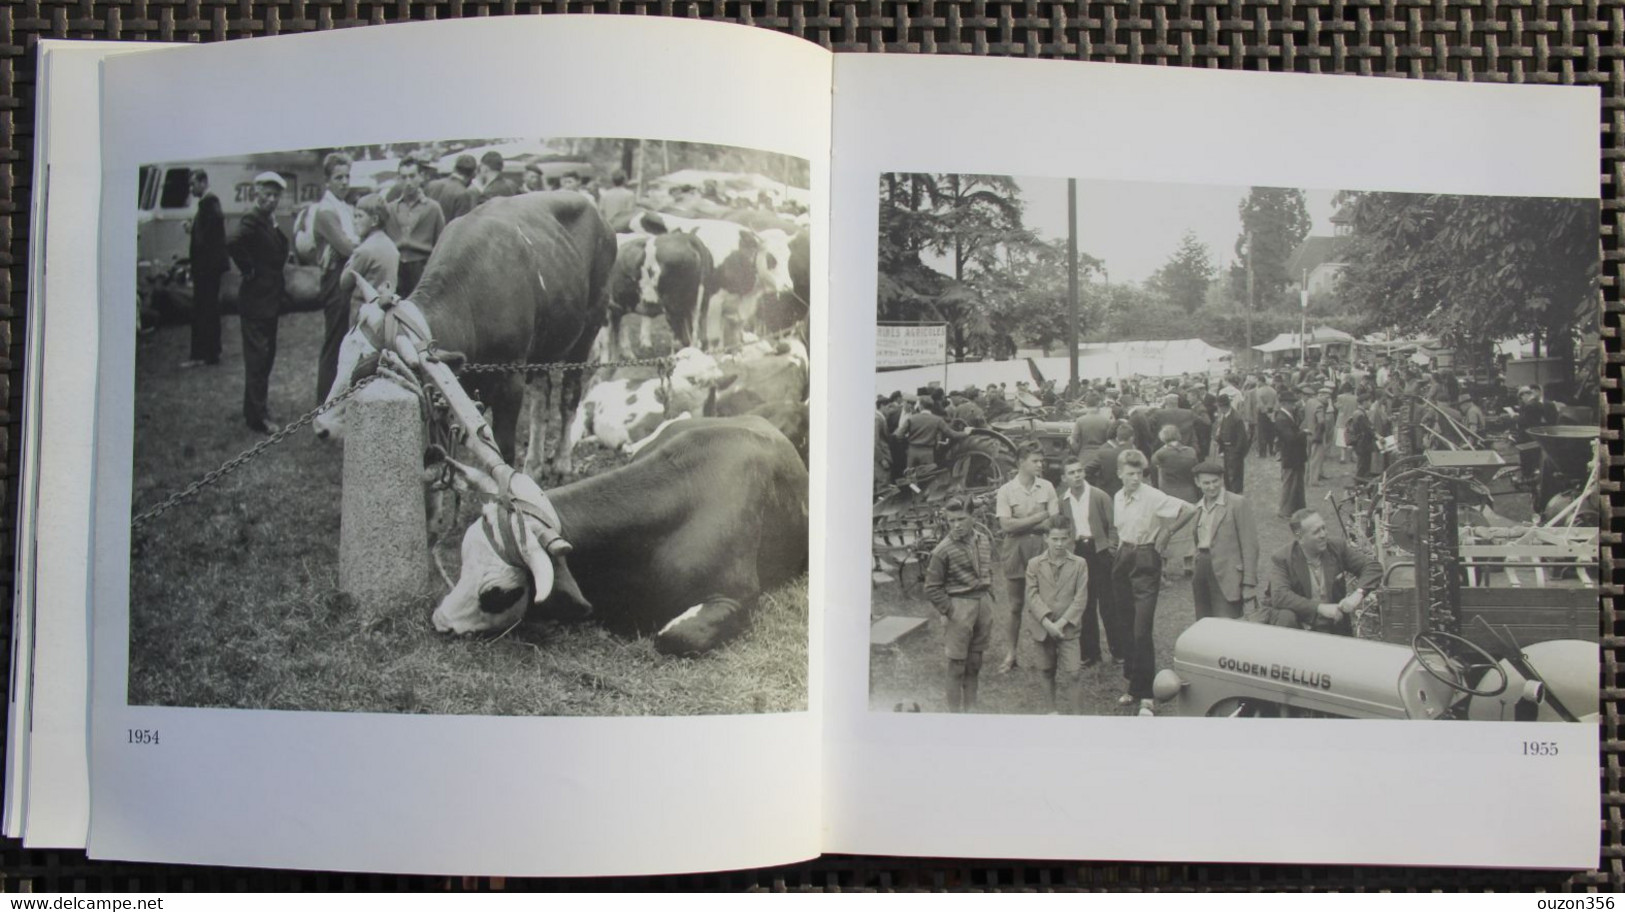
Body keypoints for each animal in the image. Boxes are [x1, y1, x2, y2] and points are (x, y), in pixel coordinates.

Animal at [315, 191, 614, 477]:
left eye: (367, 368)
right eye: (341, 359)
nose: (320, 427)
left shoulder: (511, 379)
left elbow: (503, 453)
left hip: (588, 328)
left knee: (568, 396)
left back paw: (562, 462)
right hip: (545, 345)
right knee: (541, 399)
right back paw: (534, 465)